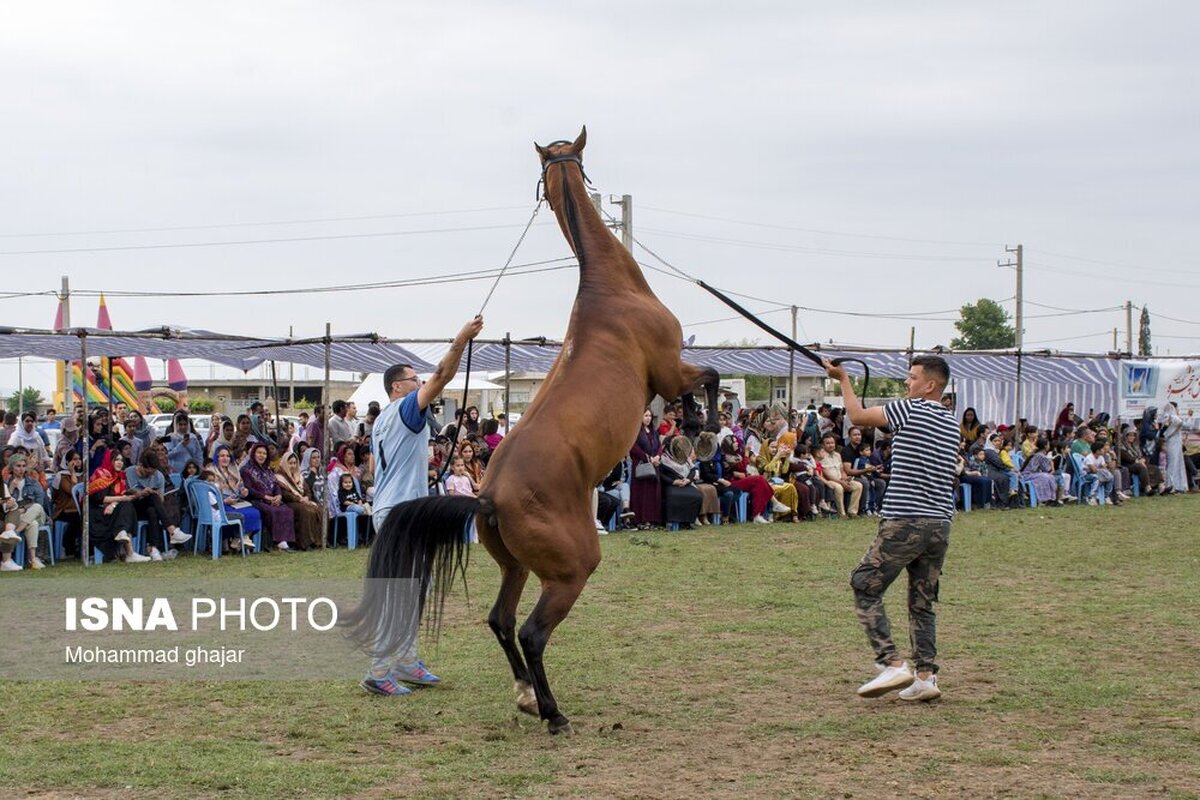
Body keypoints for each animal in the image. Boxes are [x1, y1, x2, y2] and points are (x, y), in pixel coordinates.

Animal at [343, 128, 715, 734]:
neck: (610, 290)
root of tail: (487, 496)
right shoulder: (668, 367)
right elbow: (707, 379)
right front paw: (703, 424)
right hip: (569, 571)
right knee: (531, 631)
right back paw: (552, 712)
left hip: (516, 565)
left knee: (499, 619)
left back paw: (523, 695)